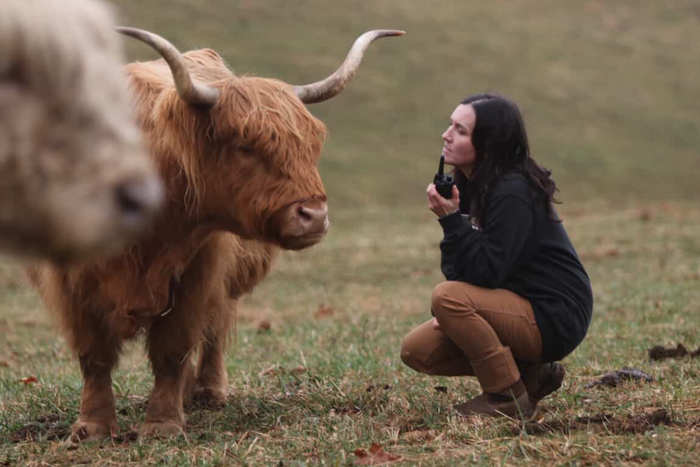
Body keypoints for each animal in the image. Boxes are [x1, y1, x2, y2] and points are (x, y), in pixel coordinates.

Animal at [29, 26, 404, 441]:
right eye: (245, 145)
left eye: (312, 143)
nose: (314, 215)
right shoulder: (69, 282)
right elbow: (93, 354)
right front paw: (93, 427)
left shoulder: (199, 270)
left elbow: (173, 349)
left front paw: (162, 424)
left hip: (226, 284)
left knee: (214, 331)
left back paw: (206, 392)